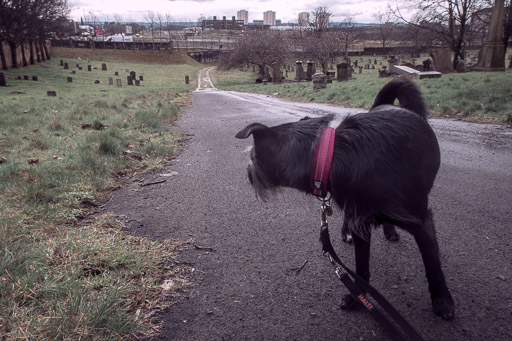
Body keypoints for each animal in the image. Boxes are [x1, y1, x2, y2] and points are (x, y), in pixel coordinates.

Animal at [236, 77, 456, 318]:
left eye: (252, 157)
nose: (247, 174)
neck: (329, 156)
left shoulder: (422, 222)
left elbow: (433, 266)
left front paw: (442, 301)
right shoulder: (360, 223)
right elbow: (361, 268)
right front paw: (359, 296)